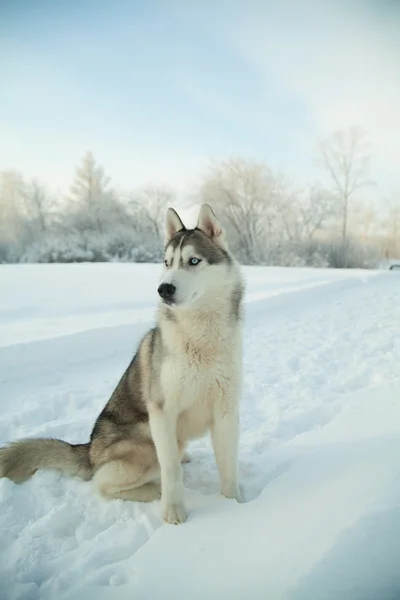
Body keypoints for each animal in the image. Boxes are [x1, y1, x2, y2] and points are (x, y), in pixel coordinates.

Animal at [0, 204, 244, 524]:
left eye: (193, 261)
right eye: (167, 263)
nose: (163, 289)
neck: (201, 338)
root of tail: (90, 450)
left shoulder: (225, 409)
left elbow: (228, 466)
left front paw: (235, 504)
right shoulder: (162, 412)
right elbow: (171, 471)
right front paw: (173, 510)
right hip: (144, 440)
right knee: (103, 483)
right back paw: (153, 490)